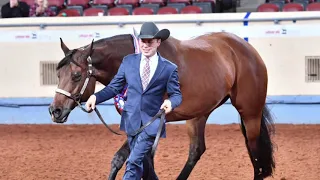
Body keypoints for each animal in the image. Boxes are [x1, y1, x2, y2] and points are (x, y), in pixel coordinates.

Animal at [48, 31, 276, 180]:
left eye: (76, 75)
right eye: (58, 74)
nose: (55, 111)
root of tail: (246, 48)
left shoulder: (151, 123)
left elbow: (135, 160)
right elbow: (125, 160)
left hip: (250, 113)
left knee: (255, 155)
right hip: (199, 114)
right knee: (197, 150)